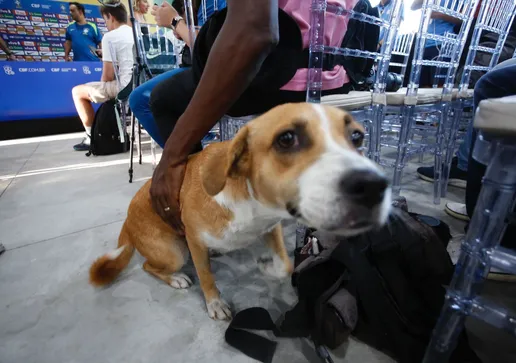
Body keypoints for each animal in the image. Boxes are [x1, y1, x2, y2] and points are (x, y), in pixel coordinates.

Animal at [89, 103, 392, 322]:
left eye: (357, 136)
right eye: (287, 139)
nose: (375, 186)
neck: (251, 203)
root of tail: (128, 220)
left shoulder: (271, 227)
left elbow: (285, 265)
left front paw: (268, 267)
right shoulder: (195, 241)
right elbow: (206, 277)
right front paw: (215, 303)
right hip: (175, 253)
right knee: (148, 266)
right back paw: (175, 277)